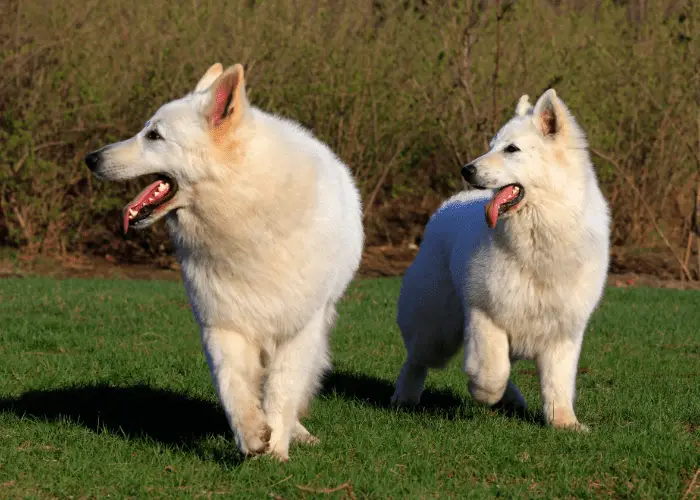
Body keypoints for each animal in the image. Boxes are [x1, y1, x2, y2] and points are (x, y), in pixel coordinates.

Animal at [85, 63, 364, 460]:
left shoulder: (298, 330)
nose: (90, 158)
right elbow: (232, 385)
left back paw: (297, 432)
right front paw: (251, 435)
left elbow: (282, 390)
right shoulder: (222, 323)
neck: (245, 206)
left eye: (154, 136)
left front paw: (277, 450)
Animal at [392, 89, 608, 430]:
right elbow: (492, 371)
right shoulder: (486, 316)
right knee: (416, 359)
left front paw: (564, 423)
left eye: (511, 149)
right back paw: (404, 396)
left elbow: (558, 384)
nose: (466, 170)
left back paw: (513, 400)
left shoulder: (563, 331)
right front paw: (482, 393)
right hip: (437, 329)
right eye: (492, 145)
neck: (540, 233)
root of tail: (450, 203)